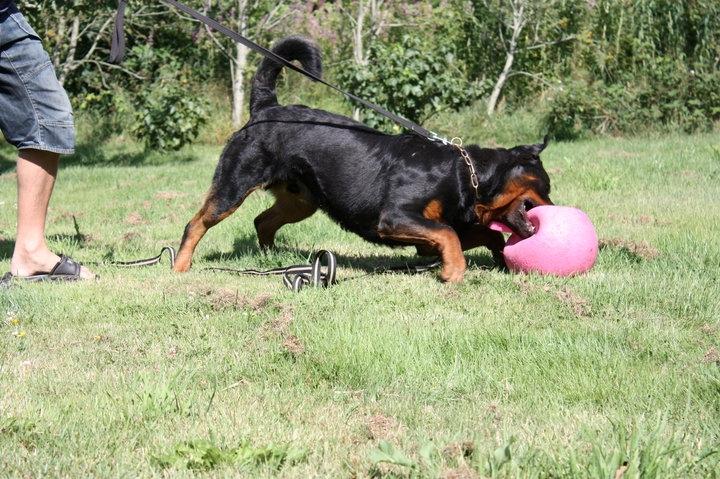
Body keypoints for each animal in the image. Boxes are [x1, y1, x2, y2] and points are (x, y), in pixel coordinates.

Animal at [173, 38, 552, 284]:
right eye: (547, 188)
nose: (553, 208)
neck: (466, 176)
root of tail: (266, 108)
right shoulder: (397, 217)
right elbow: (449, 236)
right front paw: (454, 272)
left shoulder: (439, 229)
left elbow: (484, 236)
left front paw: (500, 261)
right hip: (233, 184)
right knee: (196, 223)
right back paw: (180, 266)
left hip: (301, 200)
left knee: (263, 221)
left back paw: (272, 258)